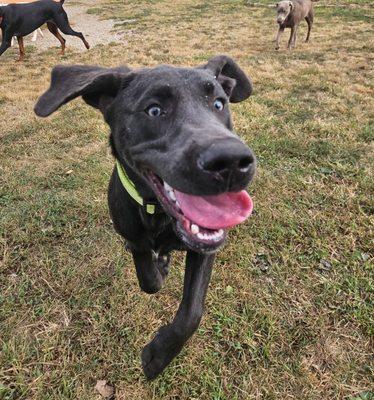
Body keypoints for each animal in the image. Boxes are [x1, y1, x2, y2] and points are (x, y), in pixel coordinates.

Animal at [34, 55, 258, 378]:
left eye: (218, 104)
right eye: (154, 110)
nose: (230, 161)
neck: (158, 213)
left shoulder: (204, 249)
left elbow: (192, 312)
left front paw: (158, 355)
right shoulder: (134, 238)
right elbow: (148, 279)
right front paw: (159, 268)